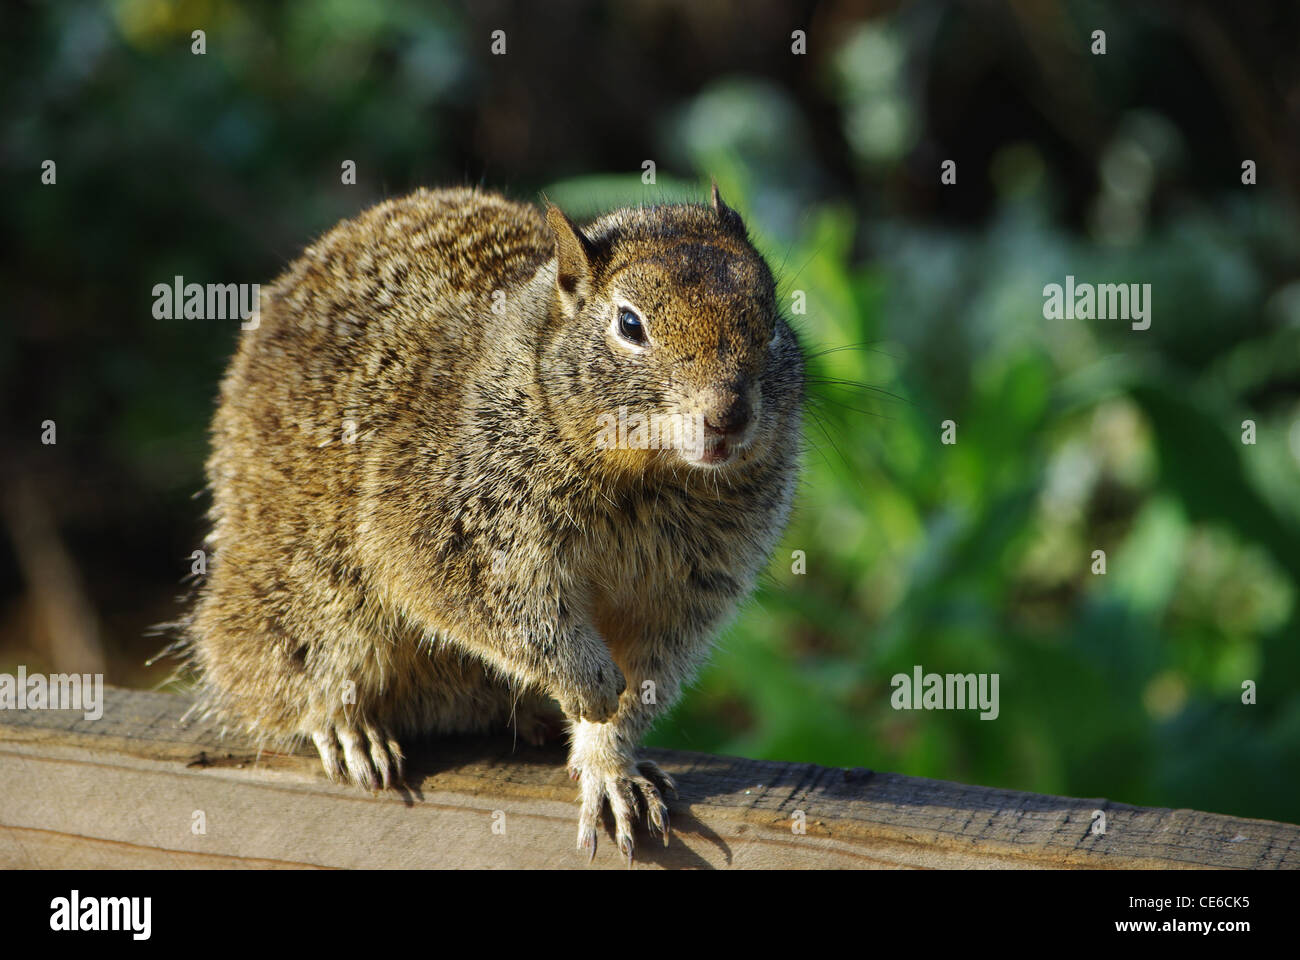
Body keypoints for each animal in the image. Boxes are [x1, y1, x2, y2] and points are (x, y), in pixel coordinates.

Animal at [180, 183, 800, 858]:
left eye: (772, 320)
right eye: (630, 324)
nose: (729, 415)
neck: (648, 476)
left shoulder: (685, 594)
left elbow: (643, 681)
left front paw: (612, 767)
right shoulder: (439, 529)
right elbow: (507, 616)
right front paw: (588, 684)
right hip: (304, 600)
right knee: (280, 678)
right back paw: (347, 728)